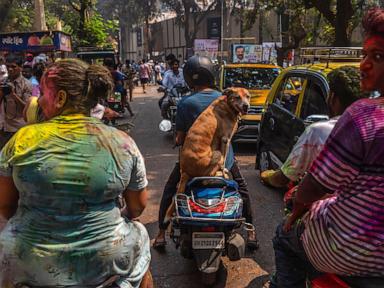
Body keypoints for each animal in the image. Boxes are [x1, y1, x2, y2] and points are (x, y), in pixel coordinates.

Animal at [164, 87, 250, 223]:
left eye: (248, 96)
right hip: (216, 154)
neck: (228, 105)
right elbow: (224, 161)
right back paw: (219, 174)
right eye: (237, 97)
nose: (246, 106)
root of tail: (185, 171)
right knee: (207, 176)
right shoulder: (225, 139)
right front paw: (224, 172)